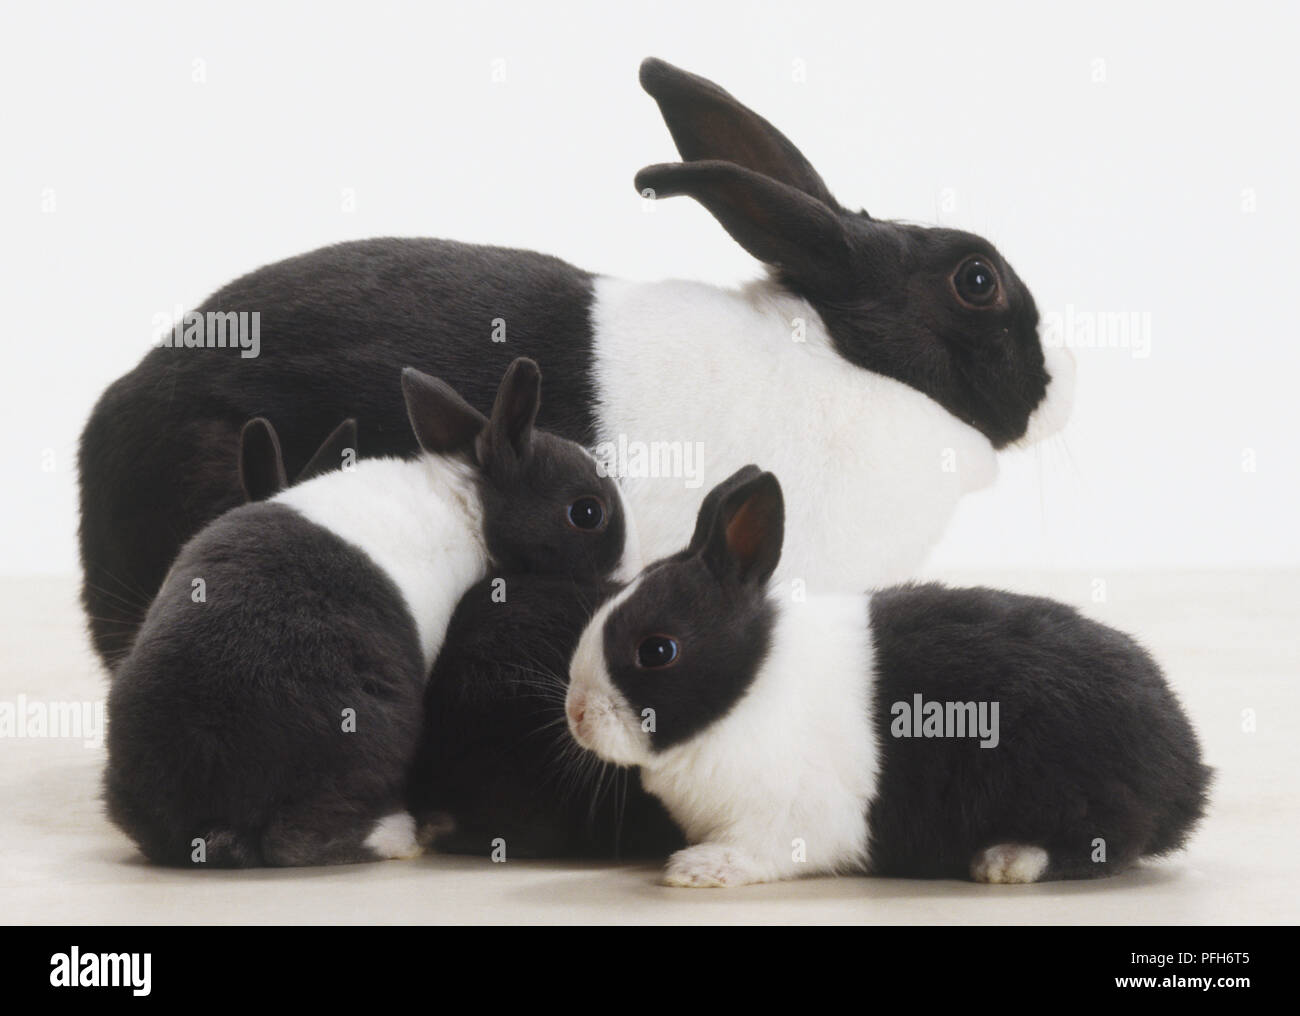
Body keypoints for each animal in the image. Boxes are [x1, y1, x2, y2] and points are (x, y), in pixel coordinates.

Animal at [104, 358, 640, 867]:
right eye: (587, 513)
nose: (622, 572)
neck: (470, 506)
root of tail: (210, 824)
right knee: (295, 841)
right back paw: (399, 837)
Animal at [566, 467, 1210, 888]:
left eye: (658, 650)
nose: (576, 714)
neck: (750, 686)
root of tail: (1188, 768)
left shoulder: (791, 818)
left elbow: (760, 852)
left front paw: (697, 869)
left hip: (1072, 786)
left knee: (1112, 843)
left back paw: (1006, 860)